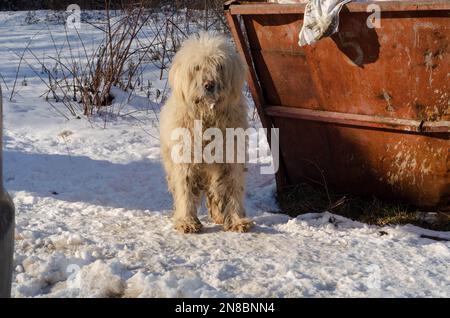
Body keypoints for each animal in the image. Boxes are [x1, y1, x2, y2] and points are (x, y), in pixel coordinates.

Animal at [161, 33, 253, 234]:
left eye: (219, 66)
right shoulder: (185, 161)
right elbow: (185, 190)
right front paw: (186, 221)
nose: (209, 85)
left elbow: (232, 188)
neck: (207, 116)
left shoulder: (230, 159)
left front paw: (236, 220)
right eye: (197, 67)